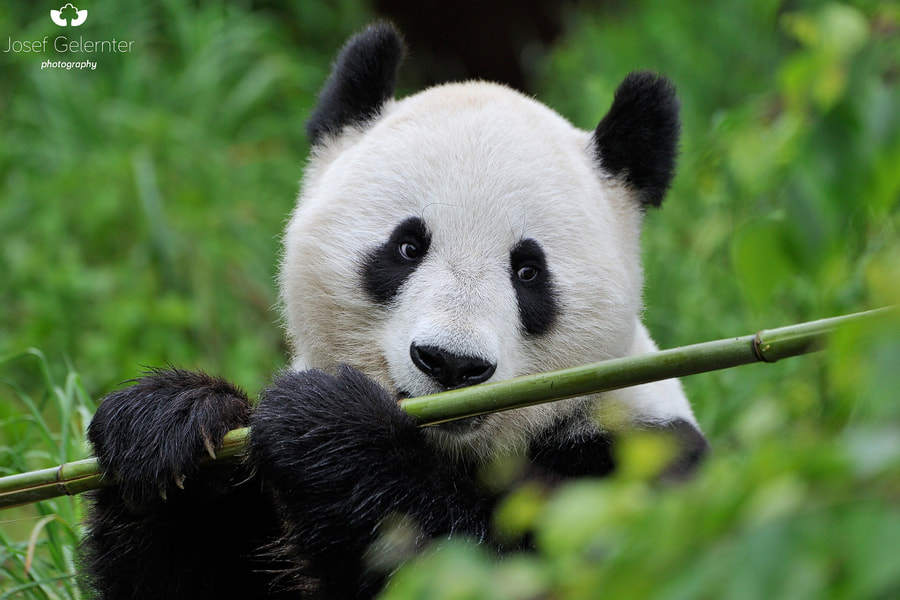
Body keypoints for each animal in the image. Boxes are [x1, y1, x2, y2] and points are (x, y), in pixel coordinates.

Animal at [81, 22, 707, 600]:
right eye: (407, 247)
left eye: (528, 271)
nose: (452, 363)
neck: (453, 448)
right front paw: (172, 425)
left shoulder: (638, 453)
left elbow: (516, 565)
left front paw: (326, 426)